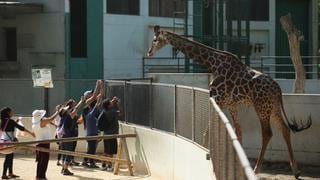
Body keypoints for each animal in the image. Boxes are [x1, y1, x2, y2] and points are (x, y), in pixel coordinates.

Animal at [148, 25, 312, 179]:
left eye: (155, 39)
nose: (149, 52)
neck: (213, 63)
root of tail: (278, 89)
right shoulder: (232, 104)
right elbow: (237, 132)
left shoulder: (218, 99)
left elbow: (207, 133)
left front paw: (207, 156)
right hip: (273, 108)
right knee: (285, 129)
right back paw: (296, 171)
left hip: (262, 108)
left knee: (267, 133)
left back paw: (256, 169)